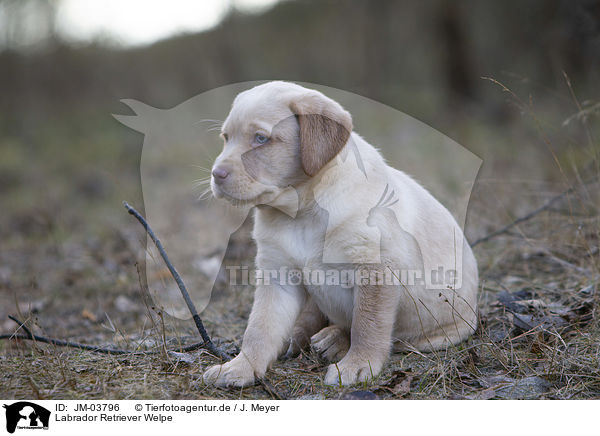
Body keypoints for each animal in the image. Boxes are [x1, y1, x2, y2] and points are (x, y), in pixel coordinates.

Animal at [204, 81, 476, 384]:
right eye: (226, 137)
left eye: (261, 139)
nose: (216, 174)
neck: (302, 211)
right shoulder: (277, 274)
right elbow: (259, 329)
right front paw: (240, 367)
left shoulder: (375, 269)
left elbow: (367, 325)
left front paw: (358, 364)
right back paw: (302, 335)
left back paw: (333, 341)